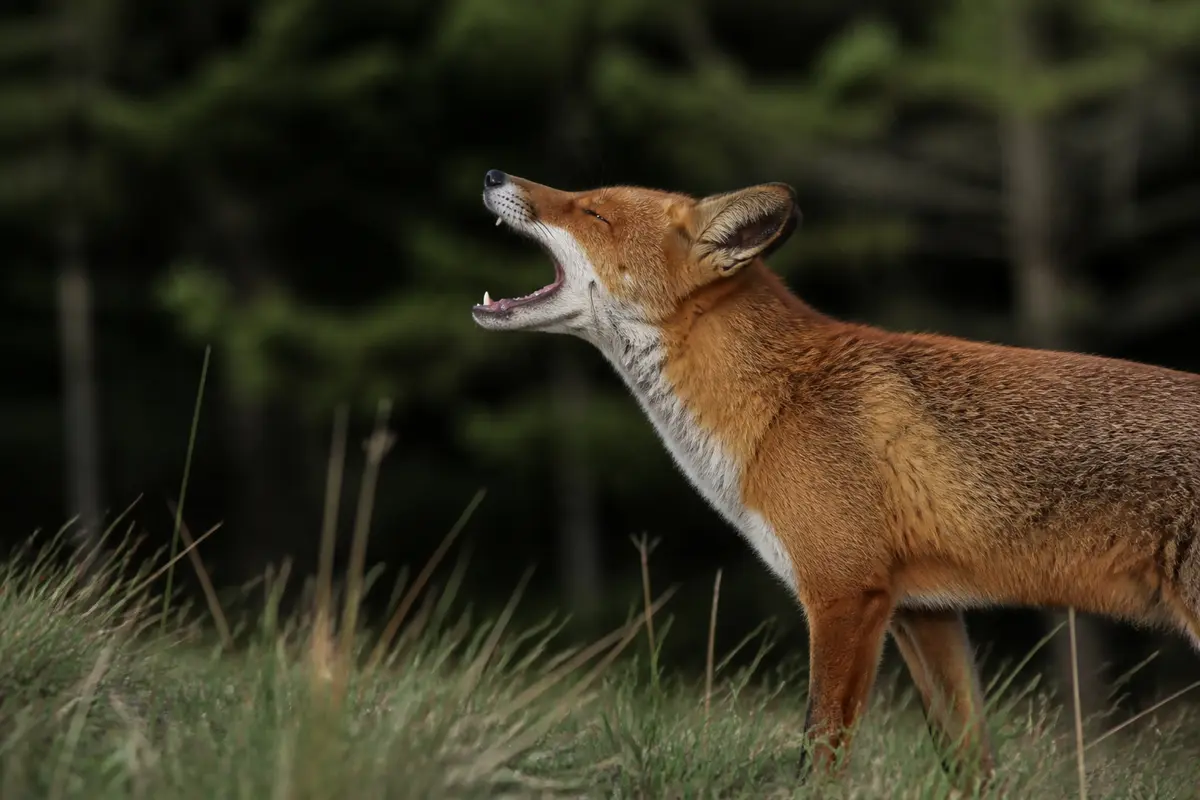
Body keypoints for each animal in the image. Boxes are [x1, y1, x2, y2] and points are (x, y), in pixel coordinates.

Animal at [470, 168, 1200, 783]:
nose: (493, 174)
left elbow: (819, 754)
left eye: (592, 209)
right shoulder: (925, 614)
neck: (775, 406)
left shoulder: (844, 594)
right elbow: (969, 765)